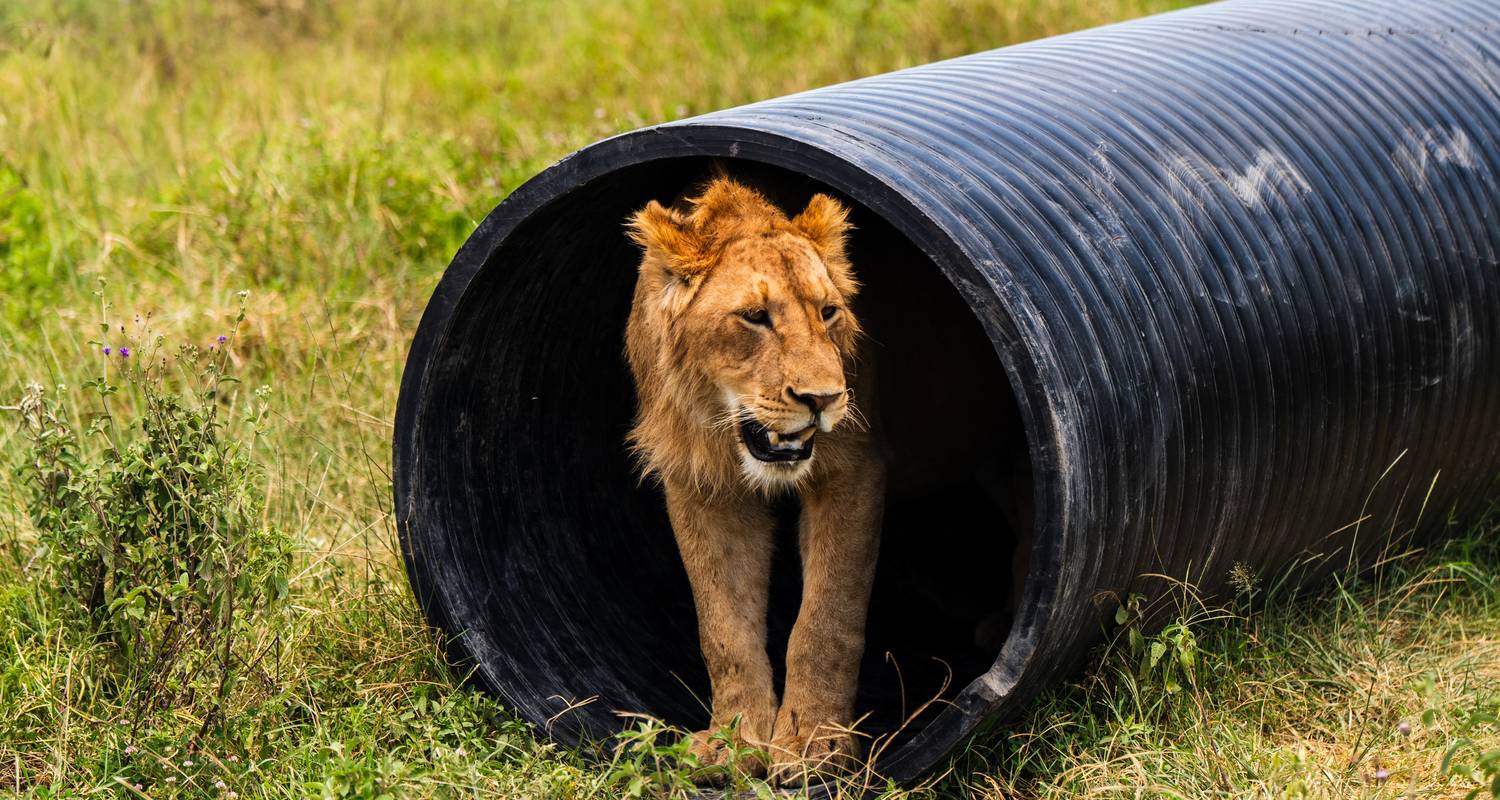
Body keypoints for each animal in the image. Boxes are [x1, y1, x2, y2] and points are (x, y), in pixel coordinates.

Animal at [624, 176, 882, 786]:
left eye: (829, 312)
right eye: (755, 316)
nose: (823, 399)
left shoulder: (850, 471)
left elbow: (827, 619)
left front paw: (814, 744)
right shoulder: (701, 488)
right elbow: (724, 627)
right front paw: (734, 743)